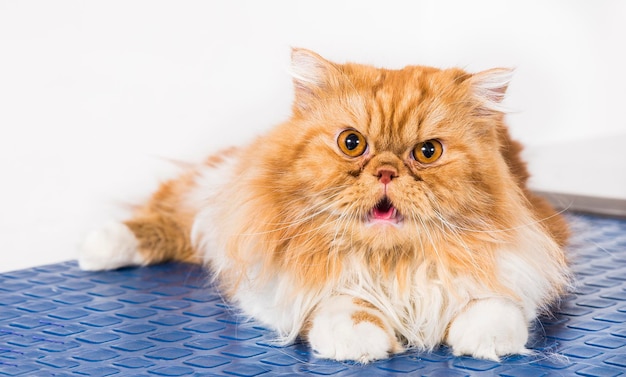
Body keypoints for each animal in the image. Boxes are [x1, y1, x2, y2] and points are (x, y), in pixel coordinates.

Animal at [79, 47, 572, 362]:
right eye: (352, 144)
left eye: (428, 152)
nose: (386, 171)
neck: (392, 263)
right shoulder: (271, 281)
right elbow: (340, 297)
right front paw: (358, 340)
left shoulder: (532, 248)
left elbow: (494, 302)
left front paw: (487, 339)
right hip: (215, 194)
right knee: (171, 215)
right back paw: (98, 248)